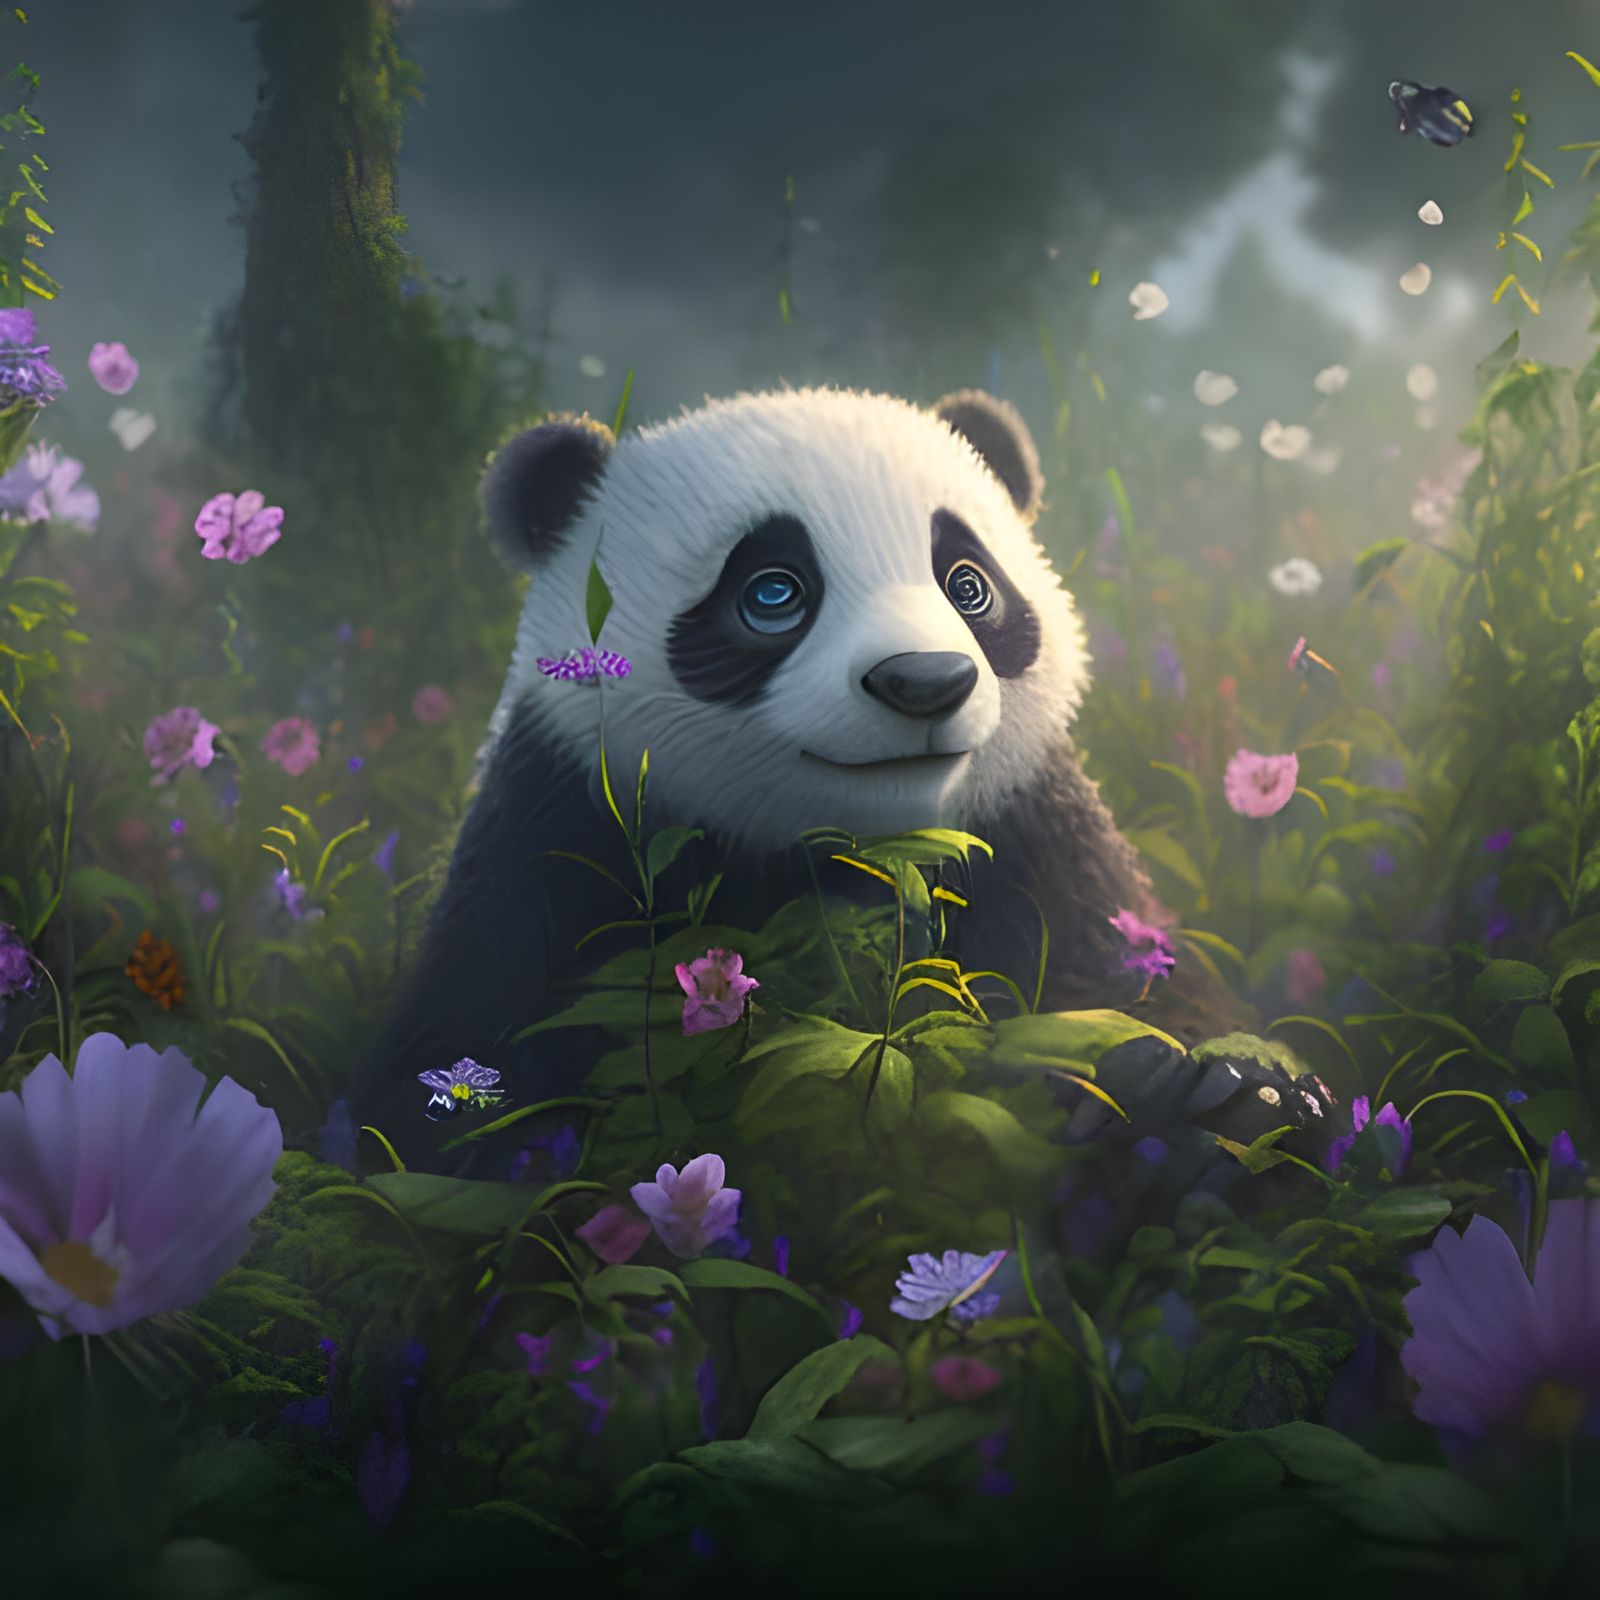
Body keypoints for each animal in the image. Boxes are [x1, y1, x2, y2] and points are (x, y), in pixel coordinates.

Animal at [351, 387, 1266, 1169]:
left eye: (969, 585)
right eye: (772, 594)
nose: (925, 681)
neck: (863, 855)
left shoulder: (1033, 828)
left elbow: (1127, 965)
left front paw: (1189, 1097)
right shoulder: (555, 832)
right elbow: (464, 1062)